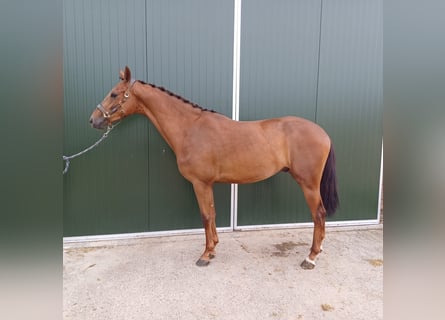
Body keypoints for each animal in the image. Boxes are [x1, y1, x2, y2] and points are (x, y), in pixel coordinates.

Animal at [88, 66, 338, 268]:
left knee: (318, 214)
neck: (190, 128)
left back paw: (311, 257)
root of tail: (323, 133)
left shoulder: (200, 183)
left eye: (114, 93)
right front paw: (214, 248)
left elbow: (206, 216)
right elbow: (213, 213)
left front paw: (206, 255)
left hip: (308, 184)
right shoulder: (207, 184)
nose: (93, 120)